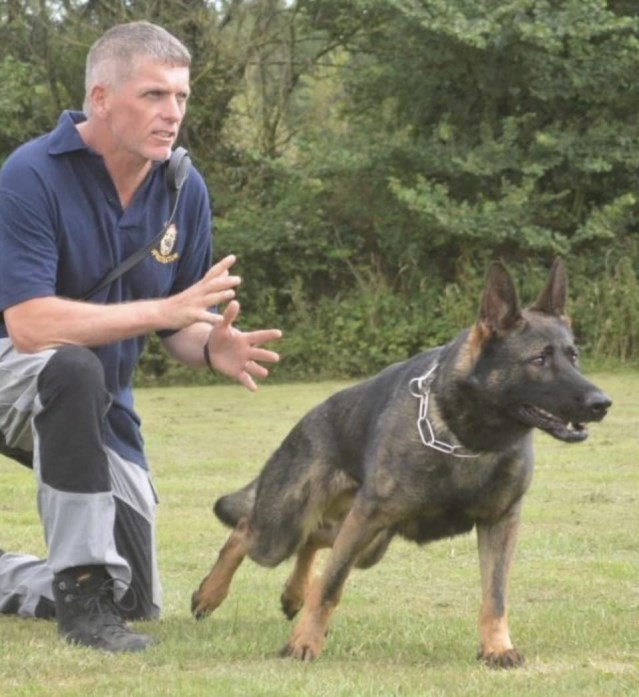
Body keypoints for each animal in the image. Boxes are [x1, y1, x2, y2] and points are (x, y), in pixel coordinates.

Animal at [192, 258, 612, 668]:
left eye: (573, 356)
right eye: (539, 360)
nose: (602, 403)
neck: (467, 439)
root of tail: (308, 419)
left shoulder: (500, 522)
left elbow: (495, 596)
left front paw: (496, 648)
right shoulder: (368, 517)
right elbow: (330, 586)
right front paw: (304, 643)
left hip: (366, 542)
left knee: (313, 540)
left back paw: (294, 593)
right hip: (286, 529)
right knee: (245, 532)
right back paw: (210, 594)